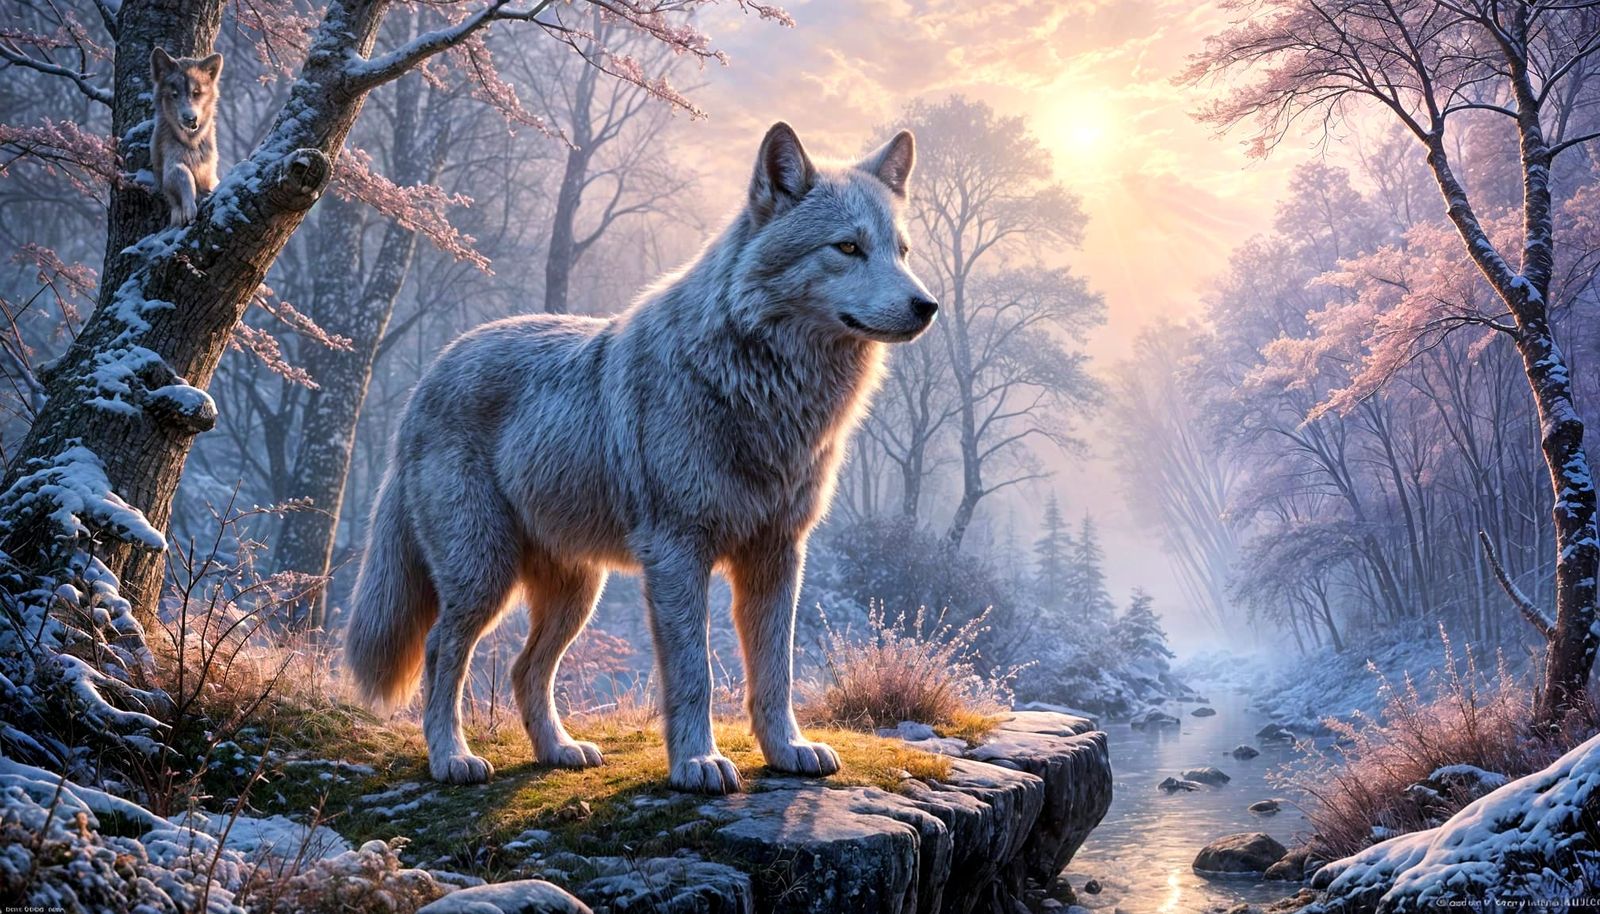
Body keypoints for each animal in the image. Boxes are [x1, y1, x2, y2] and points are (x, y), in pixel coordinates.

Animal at [149, 47, 222, 227]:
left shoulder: (208, 173)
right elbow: (184, 174)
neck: (192, 143)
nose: (190, 118)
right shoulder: (171, 165)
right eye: (174, 95)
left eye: (196, 94)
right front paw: (189, 209)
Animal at [344, 122, 937, 793]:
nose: (927, 306)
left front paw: (788, 750)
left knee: (525, 669)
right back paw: (452, 758)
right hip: (483, 576)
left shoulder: (778, 553)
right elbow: (694, 673)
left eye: (902, 251)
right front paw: (698, 763)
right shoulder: (678, 552)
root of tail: (427, 377)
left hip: (578, 593)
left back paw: (559, 750)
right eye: (847, 247)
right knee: (442, 648)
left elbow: (775, 671)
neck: (760, 386)